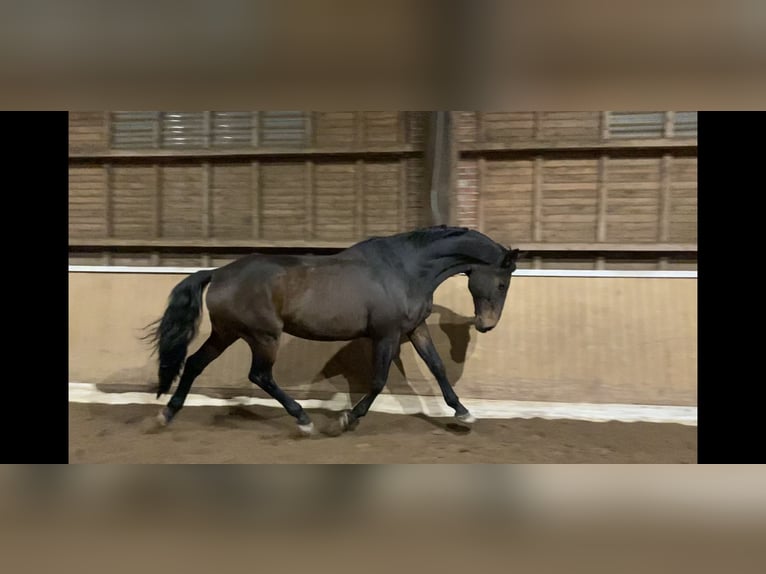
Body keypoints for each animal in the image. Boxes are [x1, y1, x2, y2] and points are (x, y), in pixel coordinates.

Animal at [145, 225, 519, 436]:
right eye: (502, 283)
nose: (487, 325)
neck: (407, 269)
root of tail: (218, 272)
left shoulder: (414, 329)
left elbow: (437, 367)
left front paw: (463, 413)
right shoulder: (386, 335)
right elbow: (378, 381)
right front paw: (346, 420)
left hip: (227, 333)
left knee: (194, 363)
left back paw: (166, 416)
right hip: (263, 336)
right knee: (260, 375)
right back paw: (303, 420)